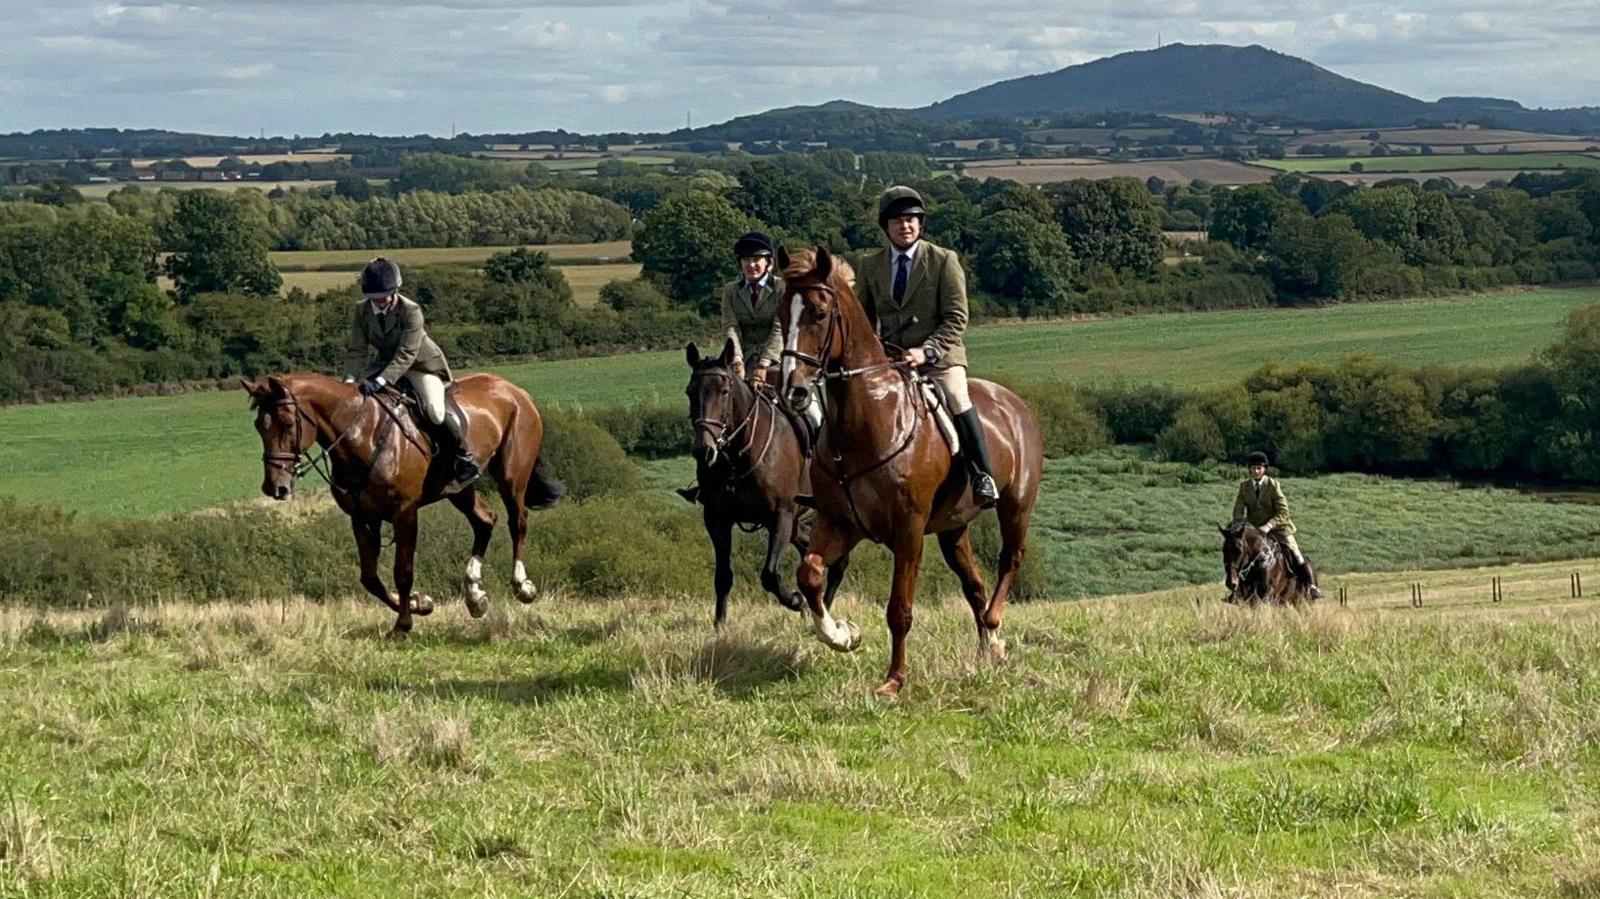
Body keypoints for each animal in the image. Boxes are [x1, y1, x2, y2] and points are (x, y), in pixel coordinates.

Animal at [236, 367, 563, 633]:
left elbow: (402, 572)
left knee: (517, 522)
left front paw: (403, 624)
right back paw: (475, 597)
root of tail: (514, 390)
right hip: (459, 489)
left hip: (511, 477)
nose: (274, 487)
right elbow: (370, 578)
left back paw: (522, 586)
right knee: (485, 521)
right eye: (259, 426)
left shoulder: (404, 513)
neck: (361, 435)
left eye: (288, 424)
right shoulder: (362, 517)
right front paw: (421, 604)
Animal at [681, 339, 851, 627]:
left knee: (838, 563)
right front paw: (719, 625)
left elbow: (770, 574)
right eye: (690, 392)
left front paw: (795, 601)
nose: (703, 451)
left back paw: (823, 611)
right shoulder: (716, 518)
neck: (738, 454)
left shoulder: (781, 515)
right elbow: (723, 575)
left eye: (724, 392)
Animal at [777, 244, 1049, 694]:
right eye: (781, 314)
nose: (793, 391)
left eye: (818, 312)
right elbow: (810, 573)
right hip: (953, 527)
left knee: (1010, 559)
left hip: (1016, 506)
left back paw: (994, 625)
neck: (865, 419)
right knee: (973, 584)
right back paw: (989, 649)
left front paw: (893, 681)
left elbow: (899, 609)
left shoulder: (908, 530)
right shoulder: (841, 523)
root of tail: (1013, 402)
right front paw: (843, 635)